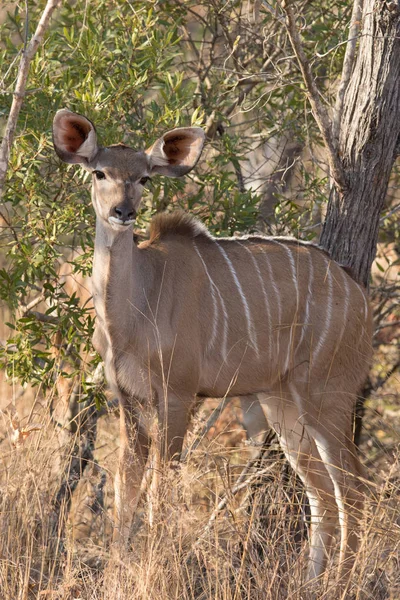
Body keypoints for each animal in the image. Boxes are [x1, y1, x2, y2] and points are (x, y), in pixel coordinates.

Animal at [52, 109, 372, 580]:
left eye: (144, 177)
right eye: (99, 172)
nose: (123, 212)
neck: (135, 308)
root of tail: (357, 291)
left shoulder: (179, 394)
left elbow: (160, 490)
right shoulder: (129, 399)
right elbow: (125, 488)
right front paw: (116, 574)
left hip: (327, 396)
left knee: (352, 487)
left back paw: (340, 581)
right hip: (282, 404)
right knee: (322, 494)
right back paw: (311, 580)